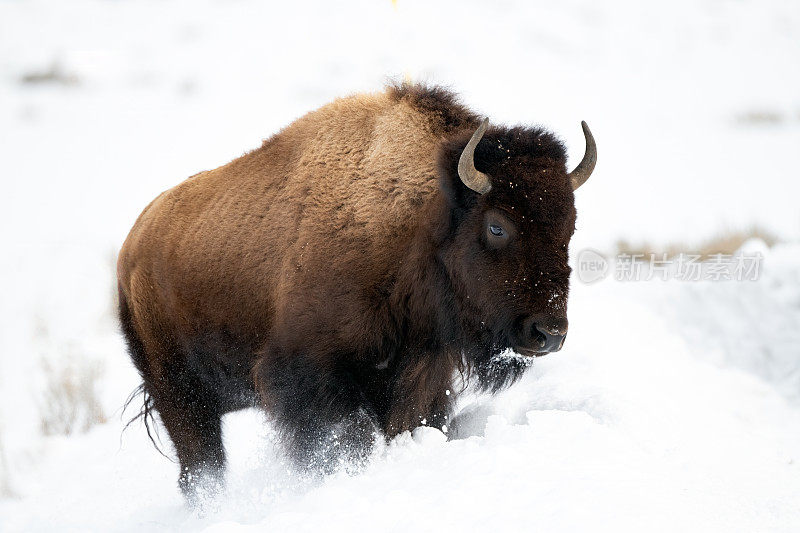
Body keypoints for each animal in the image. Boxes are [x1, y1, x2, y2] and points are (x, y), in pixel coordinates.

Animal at [117, 81, 592, 496]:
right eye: (497, 226)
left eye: (569, 229)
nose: (549, 333)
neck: (414, 222)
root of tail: (131, 250)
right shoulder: (310, 376)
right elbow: (342, 440)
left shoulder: (421, 373)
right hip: (180, 394)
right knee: (201, 466)